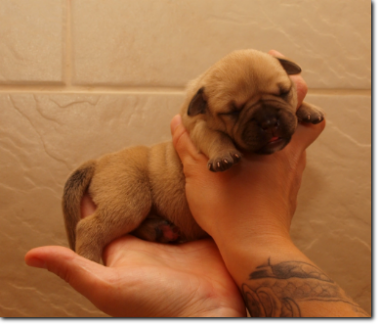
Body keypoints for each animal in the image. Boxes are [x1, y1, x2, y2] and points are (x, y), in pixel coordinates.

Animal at [62, 49, 324, 264]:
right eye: (232, 111)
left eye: (284, 92)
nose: (269, 122)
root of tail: (99, 161)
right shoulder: (199, 128)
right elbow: (216, 138)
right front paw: (223, 155)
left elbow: (294, 109)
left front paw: (308, 109)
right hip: (129, 200)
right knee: (89, 227)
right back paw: (89, 260)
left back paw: (160, 230)